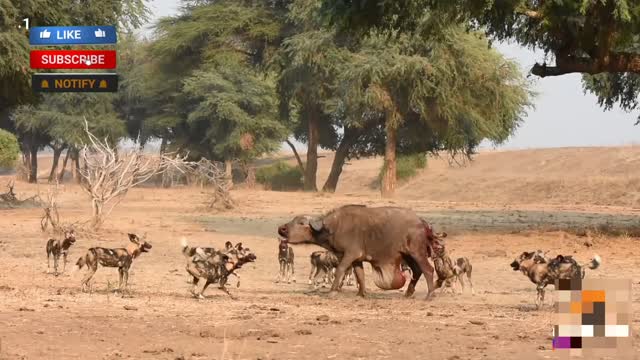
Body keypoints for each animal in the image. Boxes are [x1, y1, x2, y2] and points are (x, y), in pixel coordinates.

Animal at [276, 204, 444, 300]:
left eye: (301, 223)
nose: (281, 229)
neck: (334, 227)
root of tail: (422, 222)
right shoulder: (357, 259)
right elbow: (360, 275)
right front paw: (361, 294)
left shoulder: (349, 254)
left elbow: (340, 271)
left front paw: (332, 291)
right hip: (407, 255)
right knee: (417, 271)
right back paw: (408, 293)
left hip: (417, 253)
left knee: (428, 270)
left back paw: (430, 295)